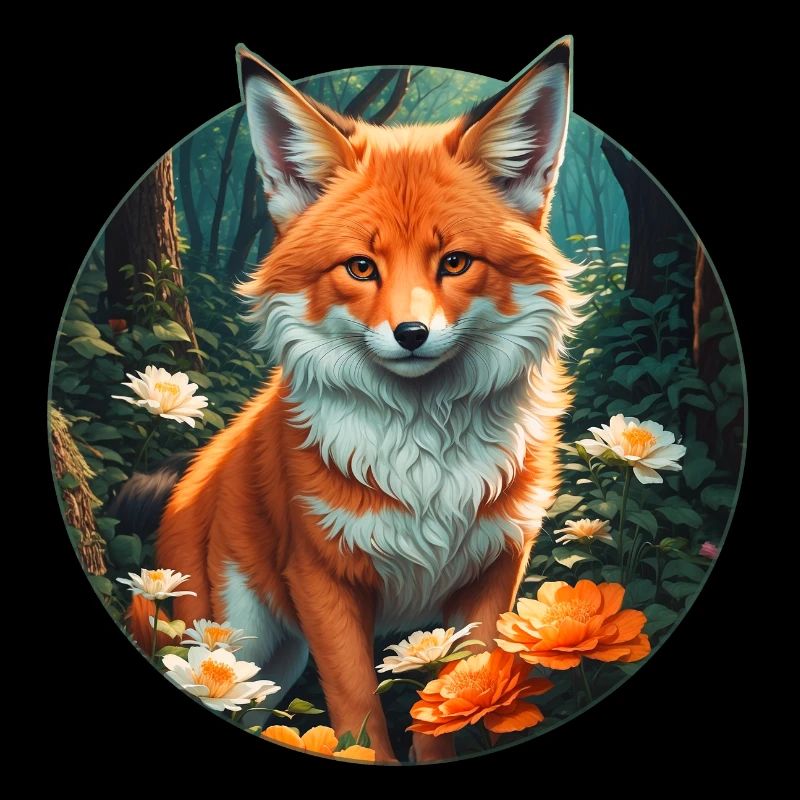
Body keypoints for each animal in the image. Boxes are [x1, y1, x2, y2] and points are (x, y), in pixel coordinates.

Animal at [123, 38, 580, 762]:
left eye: (454, 262)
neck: (425, 463)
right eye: (361, 268)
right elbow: (359, 711)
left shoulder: (493, 572)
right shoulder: (323, 579)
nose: (412, 334)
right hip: (236, 644)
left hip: (271, 666)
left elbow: (453, 707)